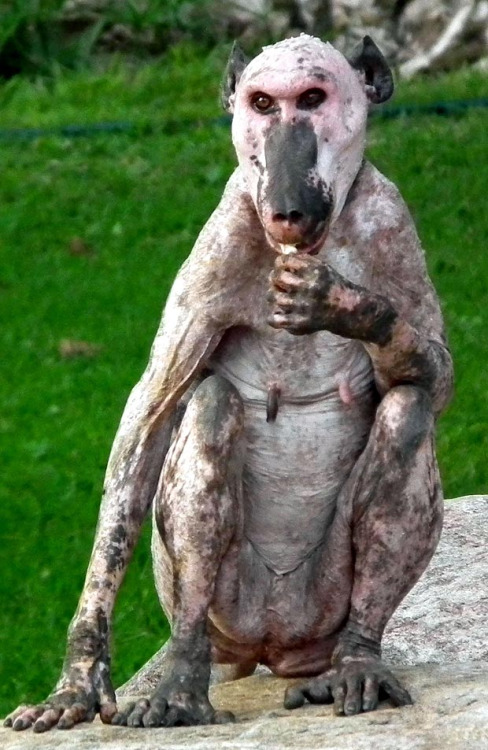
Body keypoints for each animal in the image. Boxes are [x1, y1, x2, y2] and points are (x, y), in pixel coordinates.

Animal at [5, 34, 453, 731]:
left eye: (313, 100)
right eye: (262, 104)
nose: (289, 203)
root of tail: (273, 647)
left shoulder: (390, 220)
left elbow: (437, 370)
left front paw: (340, 303)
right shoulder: (224, 238)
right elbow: (147, 423)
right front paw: (77, 682)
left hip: (321, 602)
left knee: (408, 409)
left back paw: (356, 661)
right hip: (225, 607)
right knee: (210, 407)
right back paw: (182, 681)